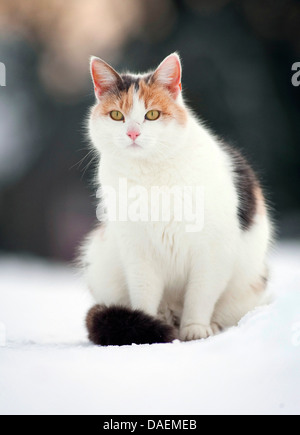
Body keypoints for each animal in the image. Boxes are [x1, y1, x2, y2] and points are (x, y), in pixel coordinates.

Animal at [81, 53, 274, 348]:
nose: (133, 133)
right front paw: (145, 326)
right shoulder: (138, 252)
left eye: (152, 115)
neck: (151, 176)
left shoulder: (212, 252)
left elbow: (200, 295)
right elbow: (144, 293)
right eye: (116, 115)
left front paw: (195, 329)